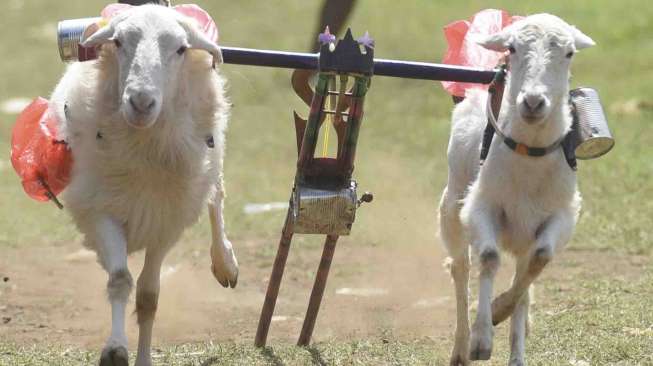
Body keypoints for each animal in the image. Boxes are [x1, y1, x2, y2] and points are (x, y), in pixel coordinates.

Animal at [48, 5, 238, 366]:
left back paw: (225, 262)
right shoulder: (101, 211)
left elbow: (150, 296)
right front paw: (115, 349)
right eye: (118, 42)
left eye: (180, 49)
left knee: (217, 195)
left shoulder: (164, 223)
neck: (144, 145)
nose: (140, 102)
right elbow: (120, 280)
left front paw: (143, 357)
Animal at [440, 12, 592, 364]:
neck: (529, 154)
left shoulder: (561, 216)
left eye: (569, 53)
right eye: (512, 48)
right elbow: (489, 257)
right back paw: (461, 347)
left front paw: (499, 311)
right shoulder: (480, 207)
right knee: (460, 268)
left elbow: (539, 260)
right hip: (452, 206)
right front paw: (482, 338)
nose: (533, 102)